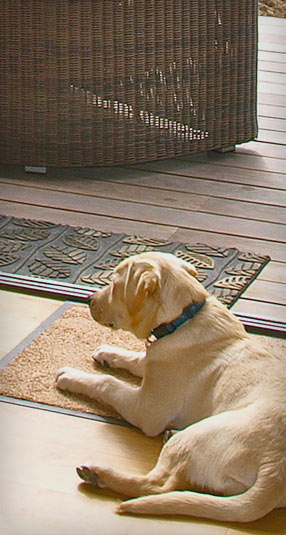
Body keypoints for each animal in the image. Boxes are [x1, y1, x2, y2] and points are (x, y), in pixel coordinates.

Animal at [56, 252, 286, 524]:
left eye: (114, 284)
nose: (89, 299)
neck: (182, 319)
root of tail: (275, 471)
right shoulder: (153, 360)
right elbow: (138, 359)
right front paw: (108, 353)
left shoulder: (145, 410)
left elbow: (107, 382)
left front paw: (70, 375)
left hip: (194, 436)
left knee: (156, 485)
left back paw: (99, 474)